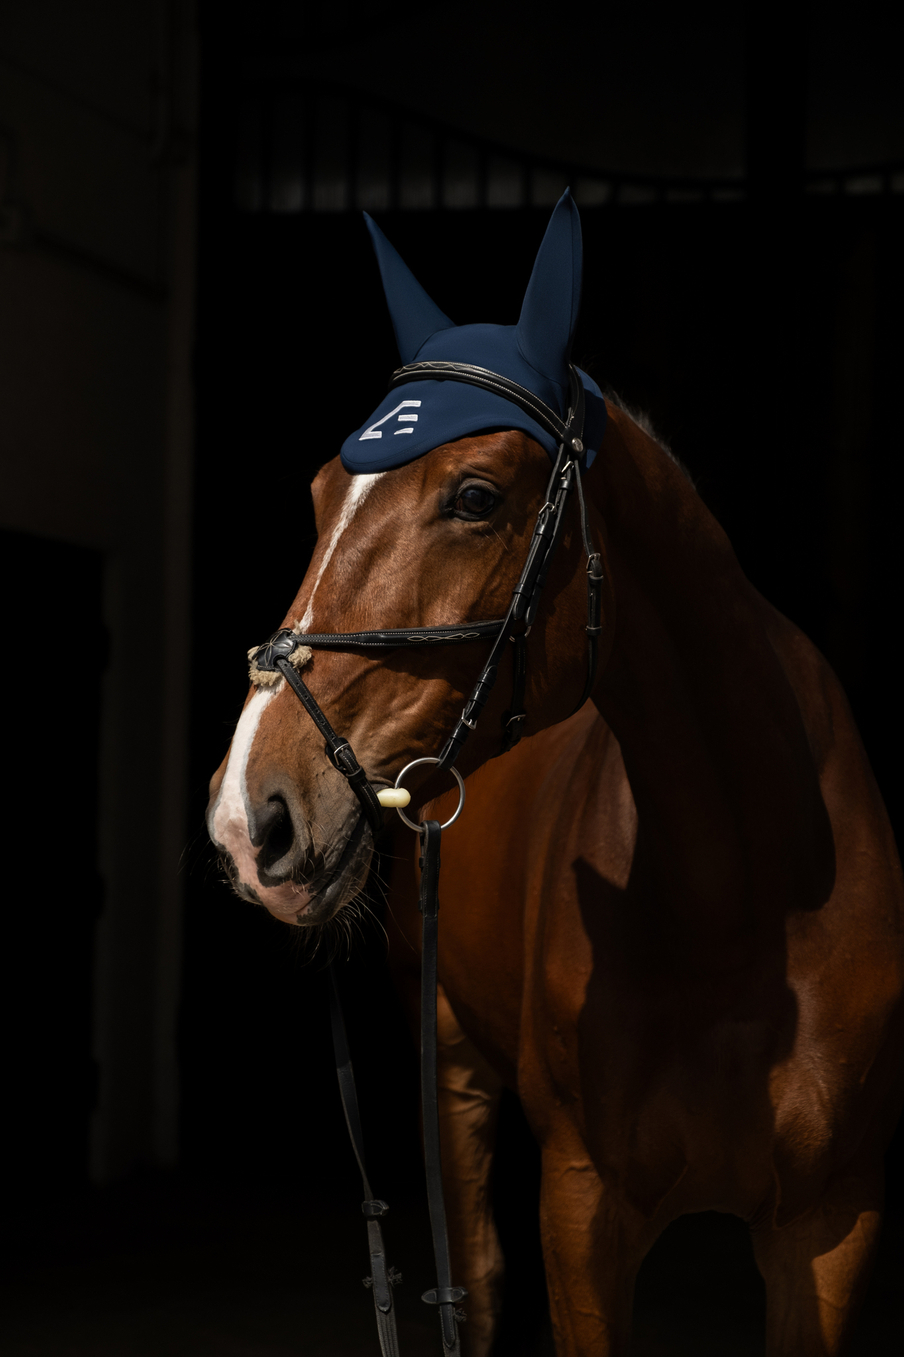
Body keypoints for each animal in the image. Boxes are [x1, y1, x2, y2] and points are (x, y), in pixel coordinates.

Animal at [206, 196, 904, 1356]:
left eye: (475, 495)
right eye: (319, 493)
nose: (246, 817)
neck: (741, 903)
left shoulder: (832, 1226)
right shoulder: (583, 1212)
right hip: (448, 1070)